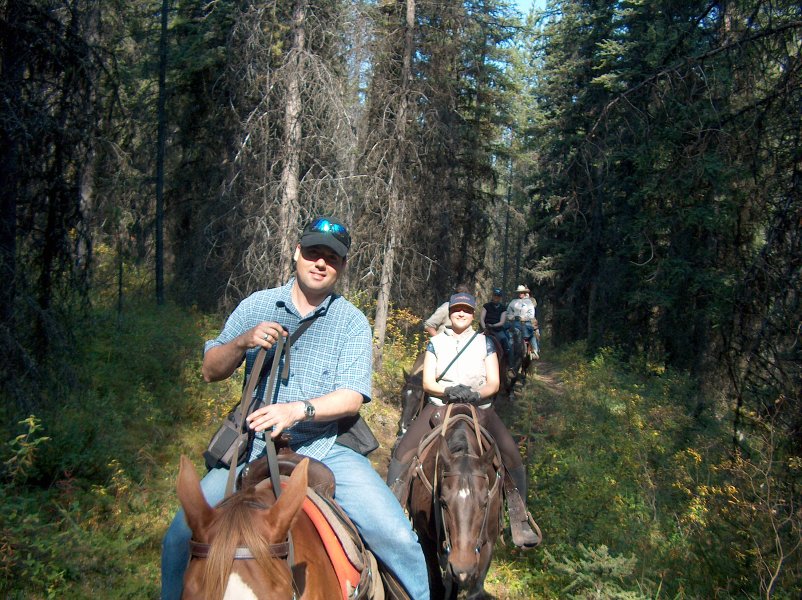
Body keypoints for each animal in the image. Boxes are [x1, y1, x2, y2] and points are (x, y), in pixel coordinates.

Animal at [406, 406, 503, 600]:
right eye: (443, 502)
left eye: (485, 504)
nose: (462, 569)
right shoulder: (424, 535)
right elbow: (437, 585)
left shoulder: (488, 542)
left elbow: (475, 590)